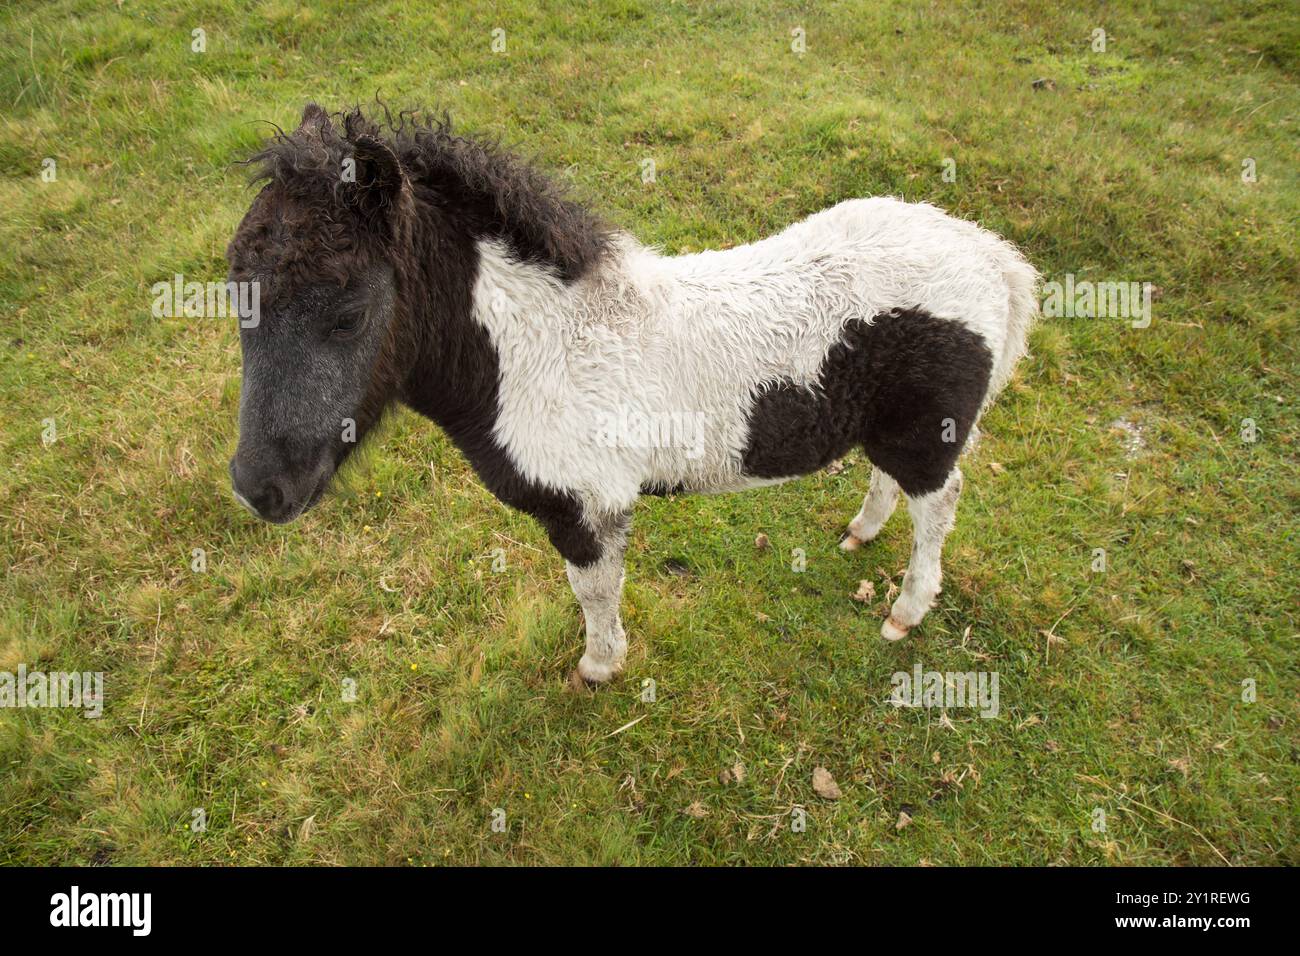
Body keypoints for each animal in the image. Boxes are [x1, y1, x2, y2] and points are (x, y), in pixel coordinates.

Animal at [226, 104, 1038, 684]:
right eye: (235, 296)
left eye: (348, 313)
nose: (259, 488)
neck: (539, 349)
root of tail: (993, 258)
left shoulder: (588, 505)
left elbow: (594, 592)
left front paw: (598, 668)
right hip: (890, 425)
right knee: (888, 479)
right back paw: (860, 533)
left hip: (929, 430)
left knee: (939, 500)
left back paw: (906, 611)